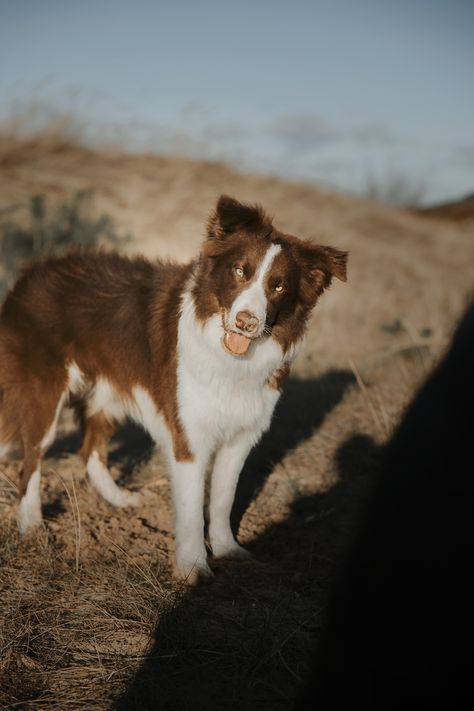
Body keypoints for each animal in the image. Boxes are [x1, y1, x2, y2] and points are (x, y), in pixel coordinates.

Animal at [0, 196, 348, 584]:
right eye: (239, 272)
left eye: (279, 286)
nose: (246, 322)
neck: (229, 357)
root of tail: (32, 271)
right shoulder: (188, 437)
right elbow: (193, 507)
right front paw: (194, 569)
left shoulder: (241, 437)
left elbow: (223, 498)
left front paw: (227, 550)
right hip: (44, 393)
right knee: (32, 458)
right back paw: (31, 525)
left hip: (109, 394)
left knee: (90, 449)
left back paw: (119, 499)